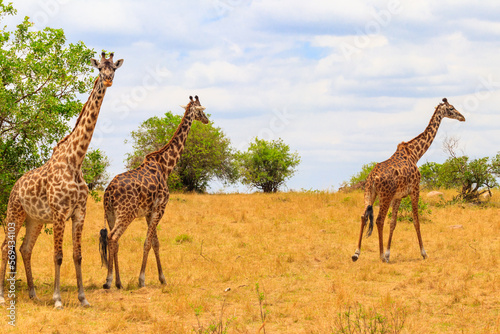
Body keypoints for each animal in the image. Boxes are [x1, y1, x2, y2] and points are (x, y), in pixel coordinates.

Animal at [0, 52, 124, 310]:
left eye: (114, 69)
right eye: (100, 69)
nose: (108, 80)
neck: (75, 160)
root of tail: (15, 186)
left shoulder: (79, 212)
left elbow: (77, 255)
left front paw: (83, 299)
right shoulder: (59, 212)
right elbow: (58, 255)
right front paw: (57, 299)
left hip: (34, 220)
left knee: (25, 249)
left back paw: (34, 295)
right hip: (14, 213)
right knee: (6, 246)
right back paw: (2, 296)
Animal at [99, 95, 209, 288]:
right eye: (201, 110)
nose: (207, 120)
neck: (166, 166)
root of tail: (109, 192)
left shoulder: (149, 212)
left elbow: (155, 243)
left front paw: (162, 278)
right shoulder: (160, 208)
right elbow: (148, 242)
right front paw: (142, 279)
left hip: (111, 214)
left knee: (114, 241)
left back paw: (118, 282)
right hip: (126, 213)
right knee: (112, 237)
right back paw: (109, 281)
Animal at [352, 99, 464, 264]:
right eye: (451, 108)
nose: (462, 117)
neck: (415, 153)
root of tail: (372, 178)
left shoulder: (398, 196)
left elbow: (393, 222)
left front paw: (388, 254)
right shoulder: (415, 189)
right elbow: (416, 221)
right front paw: (424, 253)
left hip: (369, 193)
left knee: (364, 216)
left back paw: (356, 253)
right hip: (385, 195)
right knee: (379, 220)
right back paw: (380, 256)